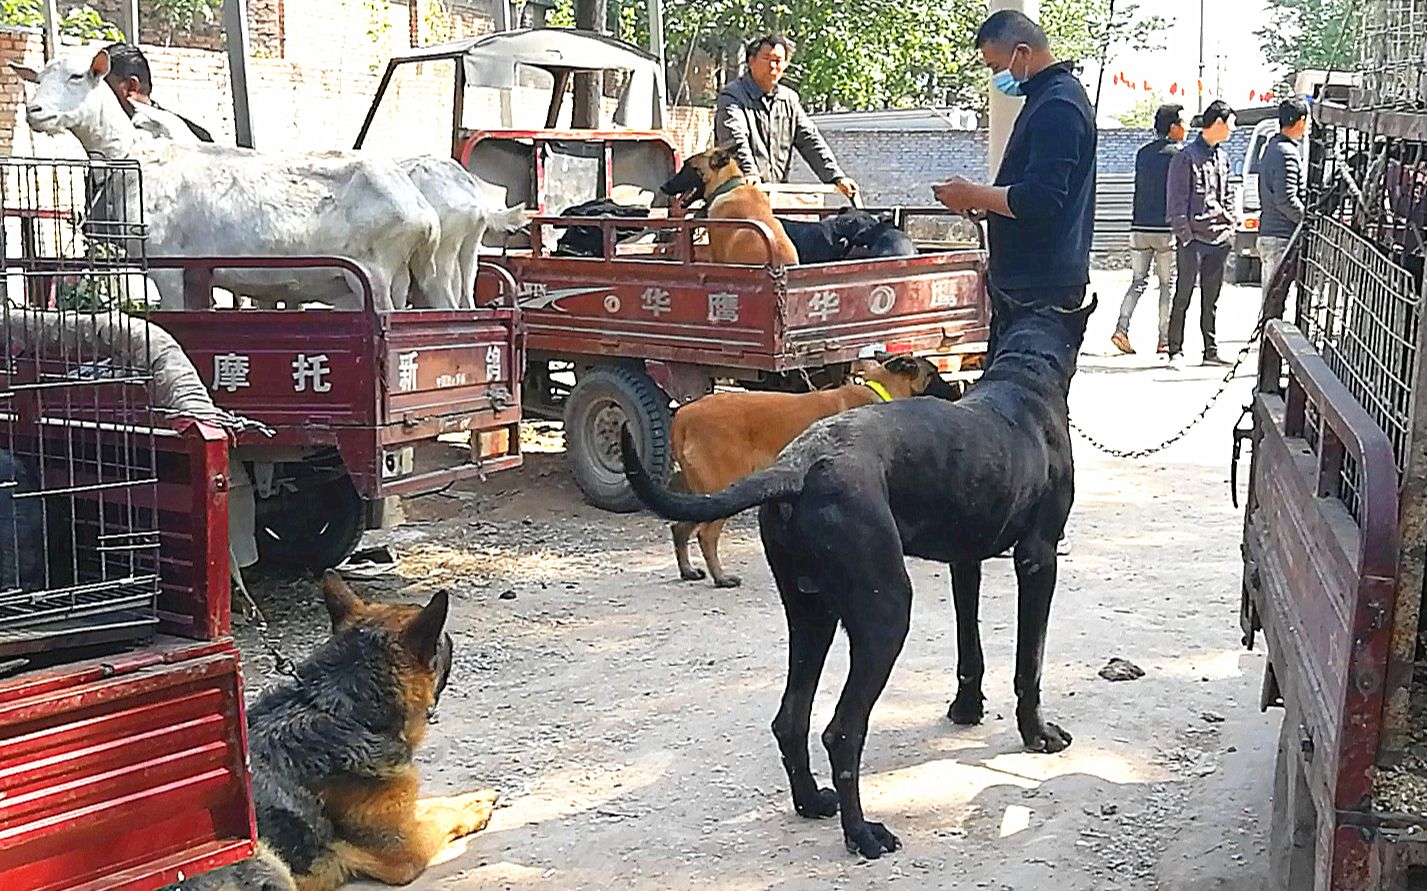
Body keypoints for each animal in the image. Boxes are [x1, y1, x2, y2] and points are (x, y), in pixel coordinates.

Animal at [15, 50, 439, 312]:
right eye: (38, 78)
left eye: (77, 76)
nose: (34, 111)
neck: (136, 157)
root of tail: (424, 215)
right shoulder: (197, 274)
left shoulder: (168, 265)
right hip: (391, 279)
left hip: (376, 274)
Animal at [166, 571, 499, 891]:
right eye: (441, 644)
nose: (451, 639)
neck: (345, 711)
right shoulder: (408, 847)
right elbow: (442, 816)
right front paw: (473, 810)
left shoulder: (405, 813)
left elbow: (434, 802)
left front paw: (474, 796)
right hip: (270, 862)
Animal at [667, 351, 958, 588]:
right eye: (933, 373)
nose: (958, 390)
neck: (882, 389)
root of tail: (683, 415)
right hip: (724, 487)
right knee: (706, 534)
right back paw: (720, 577)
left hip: (706, 494)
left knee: (679, 528)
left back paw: (687, 570)